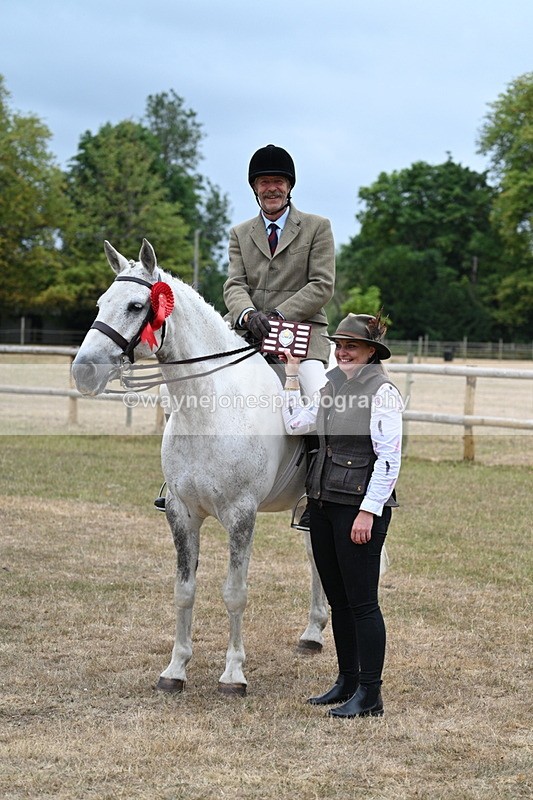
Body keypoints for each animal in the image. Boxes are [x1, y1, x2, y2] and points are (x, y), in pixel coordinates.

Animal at [72, 239, 331, 695]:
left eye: (137, 306)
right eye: (102, 303)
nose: (83, 371)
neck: (208, 407)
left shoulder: (241, 515)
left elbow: (234, 593)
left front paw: (233, 674)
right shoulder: (181, 513)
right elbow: (184, 590)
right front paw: (175, 669)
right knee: (315, 555)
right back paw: (312, 635)